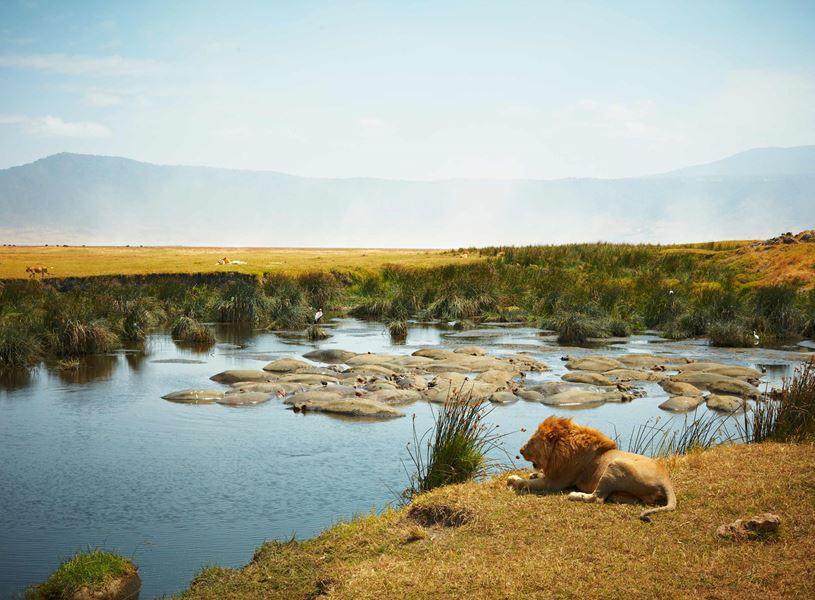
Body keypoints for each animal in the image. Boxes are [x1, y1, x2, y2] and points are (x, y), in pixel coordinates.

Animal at [507, 416, 676, 521]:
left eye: (532, 442)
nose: (521, 451)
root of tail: (665, 479)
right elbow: (536, 476)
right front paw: (533, 474)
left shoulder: (555, 483)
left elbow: (527, 484)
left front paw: (514, 479)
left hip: (614, 466)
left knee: (597, 498)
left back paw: (575, 495)